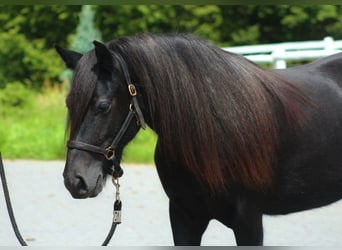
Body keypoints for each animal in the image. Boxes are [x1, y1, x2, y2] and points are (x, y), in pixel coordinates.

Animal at [55, 33, 342, 246]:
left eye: (103, 106)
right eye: (69, 104)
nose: (75, 180)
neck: (214, 134)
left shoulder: (248, 222)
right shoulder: (184, 218)